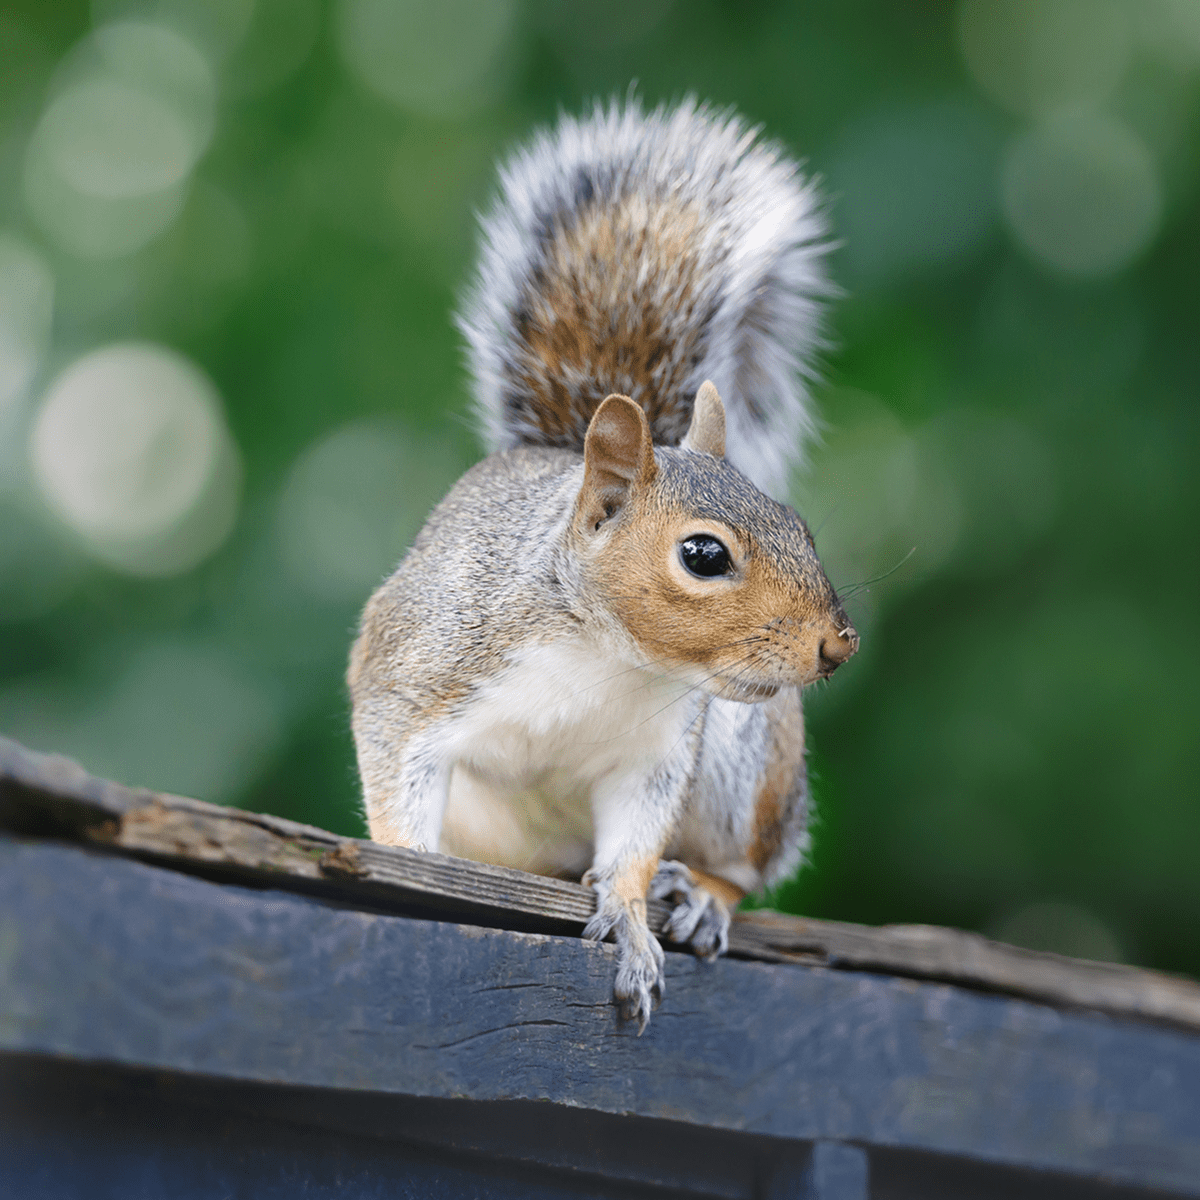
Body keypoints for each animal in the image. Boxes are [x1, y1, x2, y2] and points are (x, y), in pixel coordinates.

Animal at [348, 99, 858, 1031]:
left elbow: (632, 841)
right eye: (704, 553)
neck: (606, 654)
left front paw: (627, 917)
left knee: (747, 863)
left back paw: (700, 893)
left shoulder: (657, 753)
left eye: (797, 523)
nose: (837, 645)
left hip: (747, 766)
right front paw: (408, 866)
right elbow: (397, 774)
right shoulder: (419, 668)